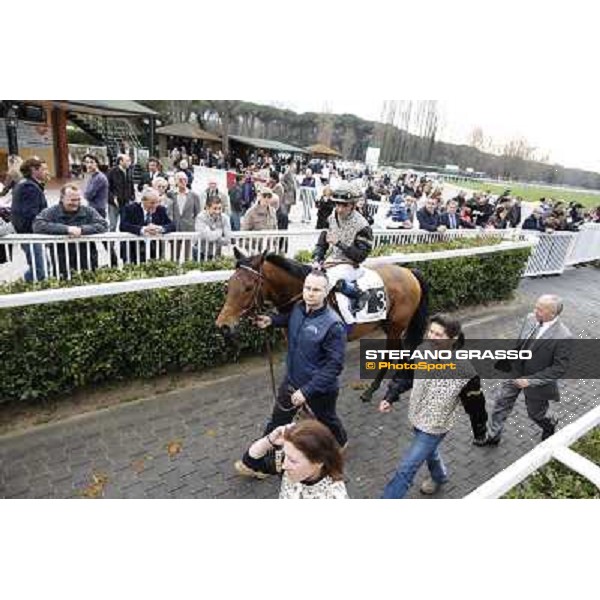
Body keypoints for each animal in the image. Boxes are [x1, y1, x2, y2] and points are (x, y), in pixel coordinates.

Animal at [214, 248, 426, 404]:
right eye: (229, 285)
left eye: (249, 287)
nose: (223, 325)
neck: (302, 293)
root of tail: (409, 272)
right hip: (389, 325)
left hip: (396, 326)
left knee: (393, 354)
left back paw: (375, 391)